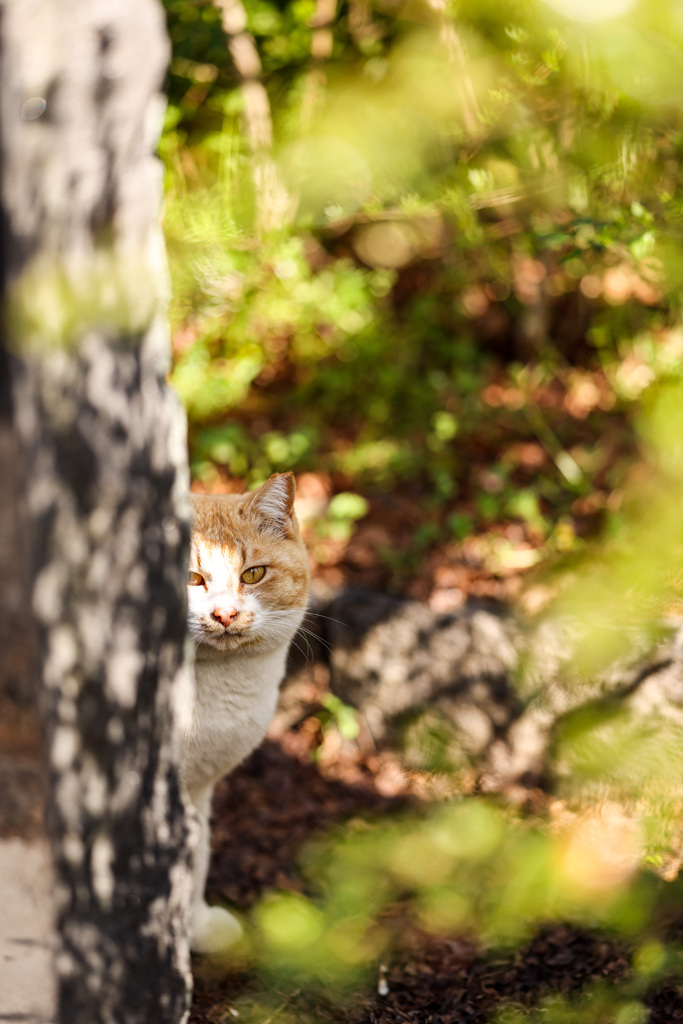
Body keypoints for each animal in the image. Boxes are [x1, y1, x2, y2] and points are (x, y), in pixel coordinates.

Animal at [181, 471, 309, 950]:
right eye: (191, 578)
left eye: (252, 574)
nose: (224, 614)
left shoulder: (198, 788)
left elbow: (197, 855)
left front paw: (195, 927)